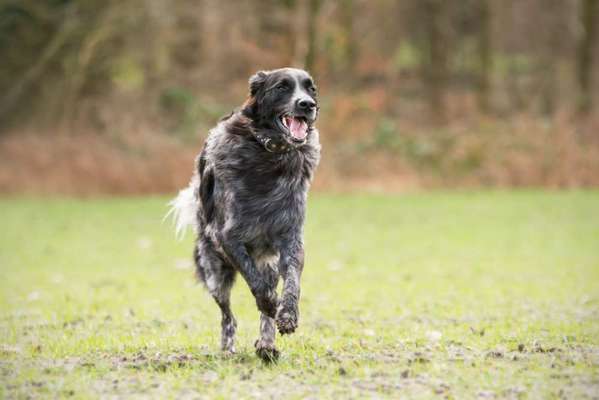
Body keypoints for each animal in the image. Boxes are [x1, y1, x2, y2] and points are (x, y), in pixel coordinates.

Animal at [166, 67, 322, 360]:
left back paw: (267, 347)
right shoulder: (227, 238)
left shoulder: (291, 239)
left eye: (311, 89)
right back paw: (229, 348)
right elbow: (256, 283)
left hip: (267, 264)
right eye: (282, 87)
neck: (268, 155)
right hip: (215, 274)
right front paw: (270, 303)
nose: (307, 105)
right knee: (228, 317)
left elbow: (292, 281)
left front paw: (287, 314)